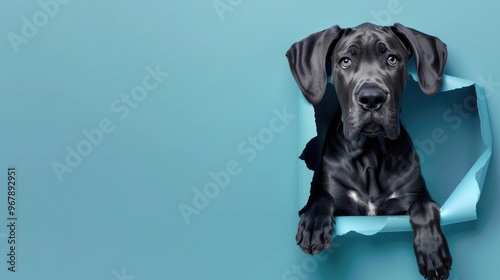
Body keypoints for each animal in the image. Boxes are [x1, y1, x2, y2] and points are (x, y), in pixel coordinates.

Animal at [286, 23, 454, 280]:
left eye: (392, 59)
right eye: (345, 61)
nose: (372, 97)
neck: (371, 153)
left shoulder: (414, 197)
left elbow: (424, 207)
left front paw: (432, 251)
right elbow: (321, 197)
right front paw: (313, 226)